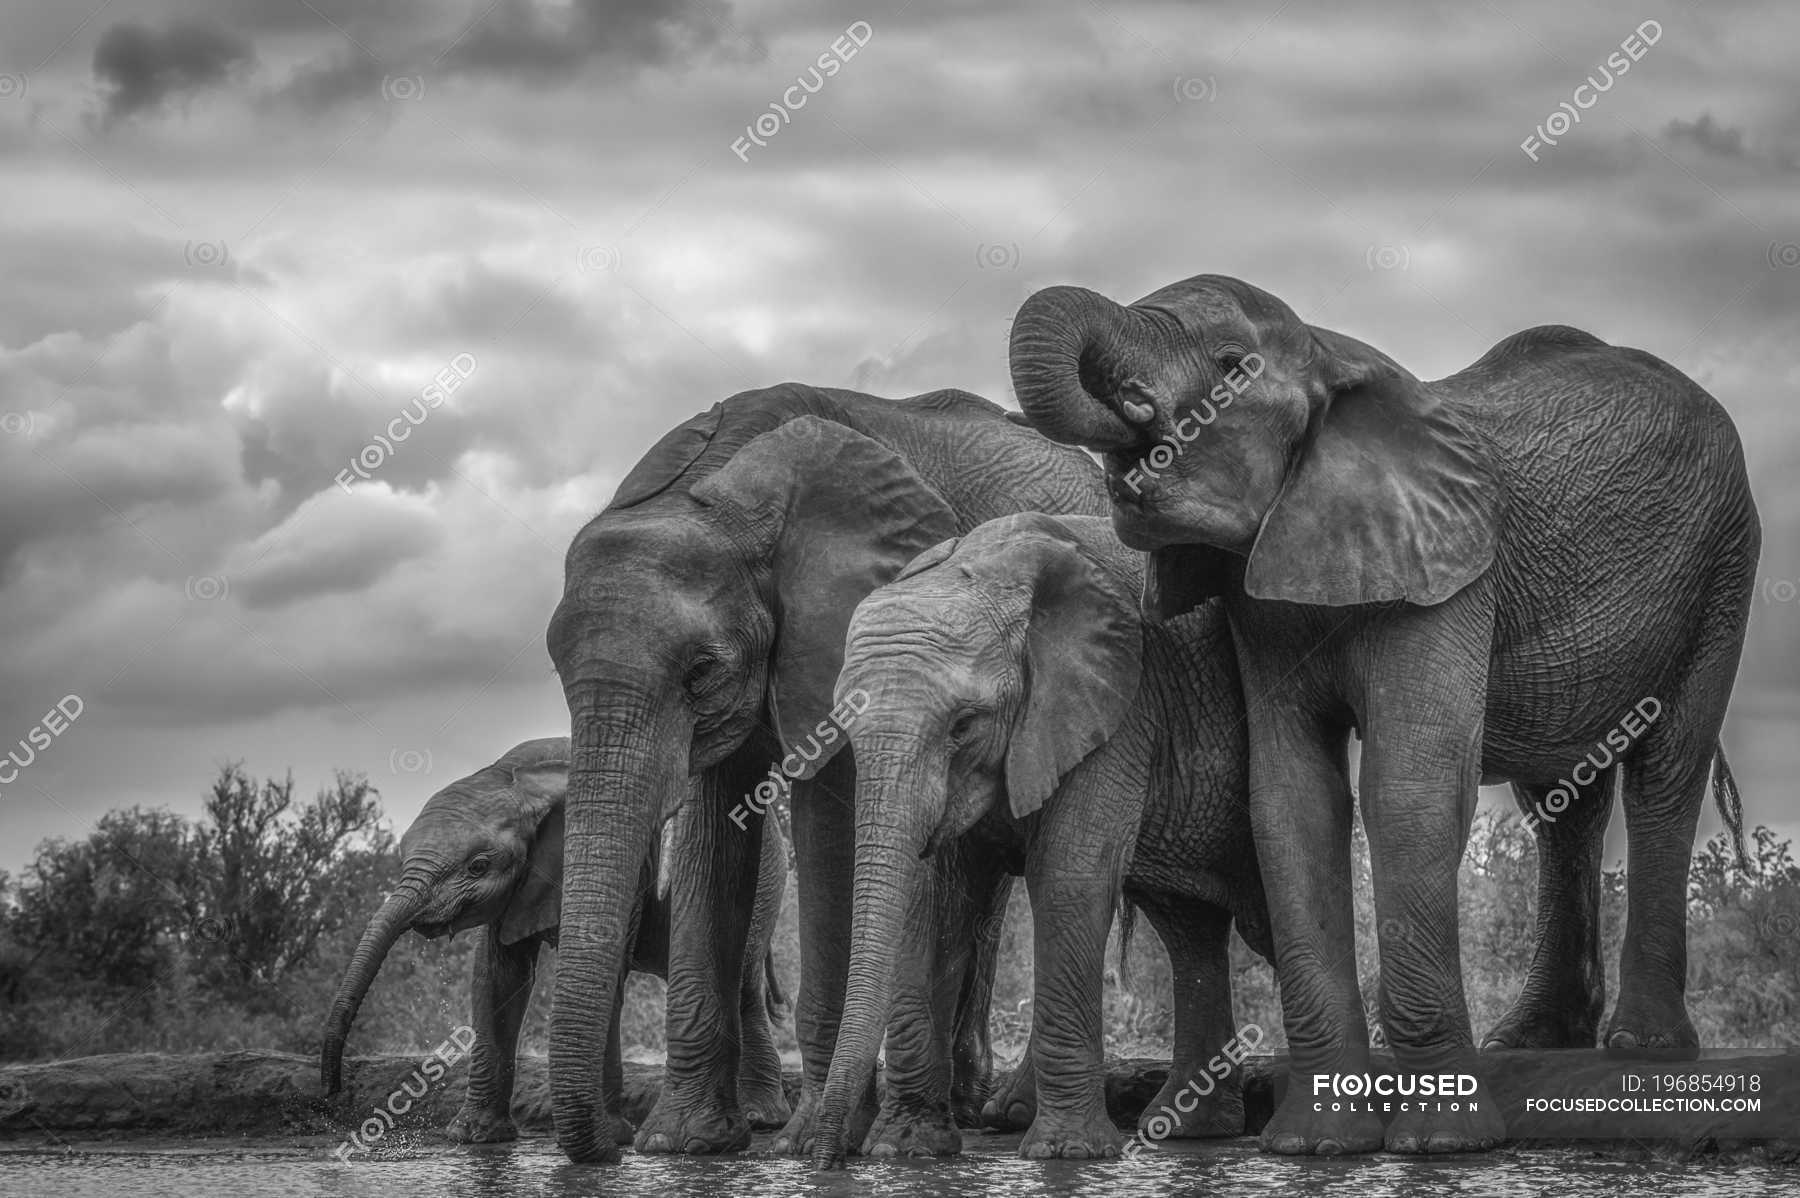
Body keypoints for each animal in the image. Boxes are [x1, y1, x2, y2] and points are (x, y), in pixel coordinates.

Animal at [318, 737, 795, 1136]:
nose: (331, 1095)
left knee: (743, 985)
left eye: (478, 866)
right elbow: (497, 978)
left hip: (763, 875)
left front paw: (613, 1135)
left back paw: (760, 1118)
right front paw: (472, 1136)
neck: (518, 780)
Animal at [536, 384, 1108, 1158]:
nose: (609, 1135)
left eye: (700, 669)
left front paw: (806, 1141)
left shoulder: (841, 631)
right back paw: (967, 1108)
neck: (715, 487)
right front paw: (683, 1142)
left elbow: (829, 826)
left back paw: (1004, 1116)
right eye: (556, 668)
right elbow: (713, 838)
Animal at [810, 507, 1274, 1158]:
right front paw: (905, 1150)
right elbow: (931, 897)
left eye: (963, 725)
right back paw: (1189, 1129)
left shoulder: (1119, 703)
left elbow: (1068, 874)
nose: (825, 1160)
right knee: (1189, 928)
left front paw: (1067, 1153)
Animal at [1015, 269, 1756, 1151]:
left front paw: (1443, 1144)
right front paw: (1315, 1144)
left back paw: (1644, 1047)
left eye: (1232, 366)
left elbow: (1409, 791)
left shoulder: (1454, 570)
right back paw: (1533, 1038)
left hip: (1727, 566)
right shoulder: (1262, 605)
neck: (1331, 353)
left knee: (1666, 774)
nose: (1129, 407)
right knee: (1562, 798)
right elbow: (1291, 804)